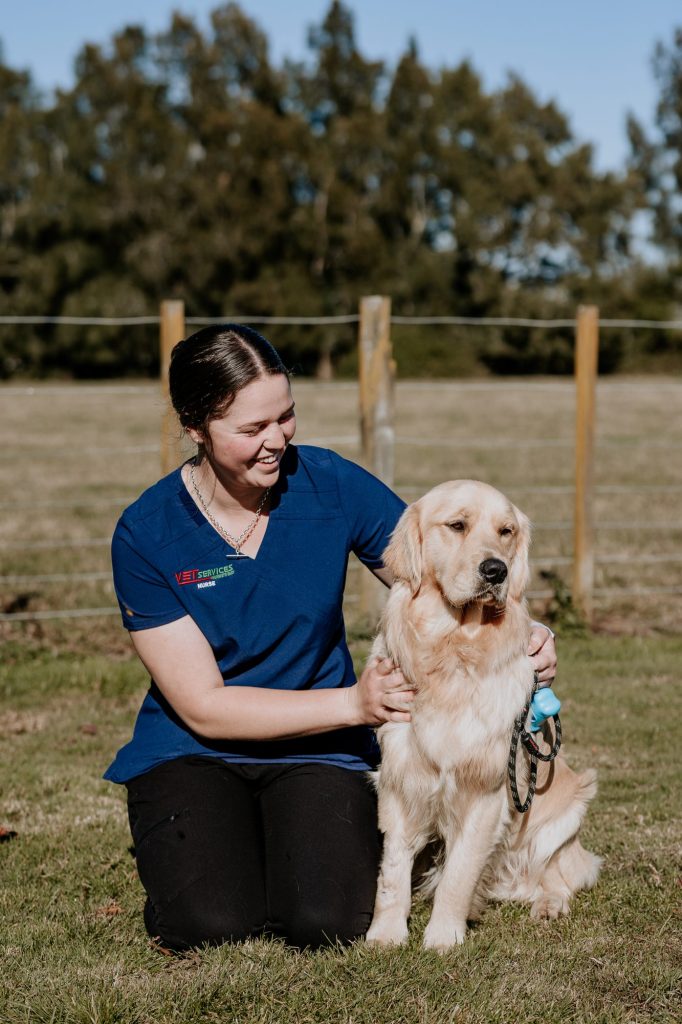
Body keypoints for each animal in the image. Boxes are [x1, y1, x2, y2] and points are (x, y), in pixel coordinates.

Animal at [364, 479, 598, 950]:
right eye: (457, 525)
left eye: (506, 531)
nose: (496, 571)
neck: (454, 650)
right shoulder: (400, 778)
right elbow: (392, 872)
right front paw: (386, 934)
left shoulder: (486, 792)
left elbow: (459, 873)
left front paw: (443, 937)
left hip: (569, 811)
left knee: (556, 876)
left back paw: (549, 905)